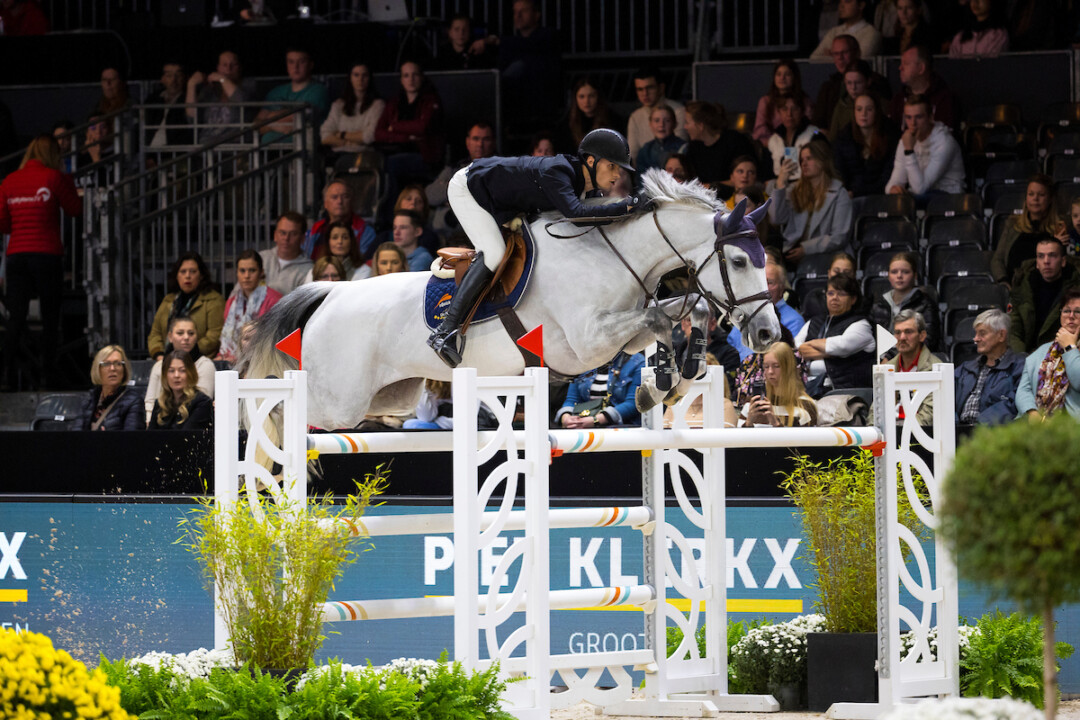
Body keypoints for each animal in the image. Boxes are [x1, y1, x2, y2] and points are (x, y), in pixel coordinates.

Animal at [240, 169, 781, 431]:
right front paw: (665, 378)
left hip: (387, 397)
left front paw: (673, 374)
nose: (768, 333)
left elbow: (683, 313)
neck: (612, 252)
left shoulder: (616, 338)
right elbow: (657, 318)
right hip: (338, 401)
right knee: (274, 409)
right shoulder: (584, 344)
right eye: (738, 261)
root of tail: (331, 293)